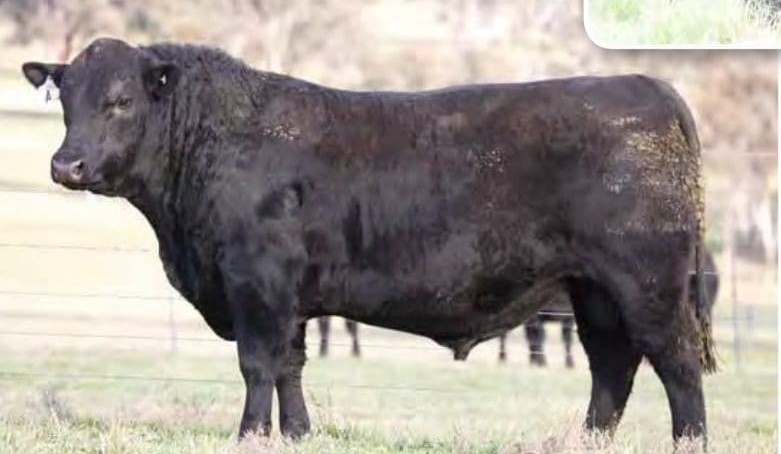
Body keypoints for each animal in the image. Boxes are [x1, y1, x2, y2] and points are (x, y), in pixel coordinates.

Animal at [22, 38, 716, 447]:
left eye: (120, 100)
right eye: (66, 101)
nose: (66, 165)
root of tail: (647, 85)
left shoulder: (257, 286)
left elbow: (256, 365)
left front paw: (249, 435)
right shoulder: (289, 301)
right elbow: (290, 367)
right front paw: (298, 434)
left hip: (647, 285)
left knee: (676, 363)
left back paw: (690, 441)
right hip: (592, 292)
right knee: (612, 369)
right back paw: (585, 442)